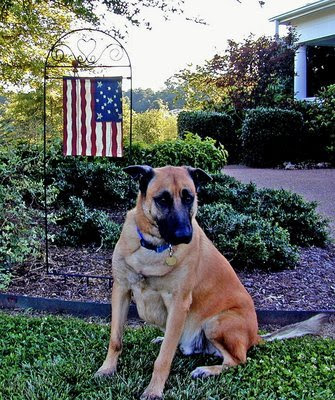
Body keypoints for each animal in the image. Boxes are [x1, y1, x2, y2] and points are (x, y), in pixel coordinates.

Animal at [96, 164, 330, 398]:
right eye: (162, 199)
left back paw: (206, 370)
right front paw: (107, 369)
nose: (184, 235)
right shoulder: (121, 290)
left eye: (189, 197)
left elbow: (163, 358)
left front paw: (154, 390)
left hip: (215, 323)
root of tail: (255, 337)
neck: (153, 247)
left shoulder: (178, 303)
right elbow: (115, 340)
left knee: (237, 360)